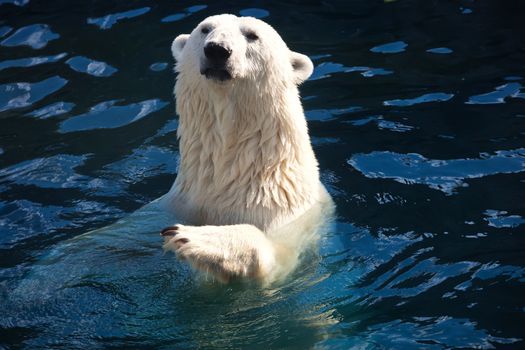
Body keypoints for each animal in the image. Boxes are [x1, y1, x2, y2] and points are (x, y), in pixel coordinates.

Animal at [160, 13, 332, 284]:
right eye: (205, 29)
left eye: (252, 35)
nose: (217, 50)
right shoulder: (179, 203)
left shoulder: (286, 216)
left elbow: (279, 257)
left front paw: (196, 238)